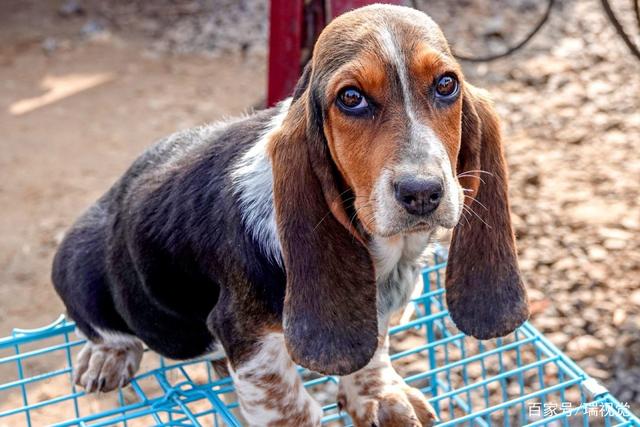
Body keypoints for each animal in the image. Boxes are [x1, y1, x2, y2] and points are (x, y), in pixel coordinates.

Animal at [52, 4, 528, 427]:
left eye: (447, 84)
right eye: (351, 98)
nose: (422, 192)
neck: (386, 250)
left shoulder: (370, 309)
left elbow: (371, 348)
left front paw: (378, 396)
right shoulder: (249, 336)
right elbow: (286, 406)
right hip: (78, 263)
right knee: (105, 327)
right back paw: (106, 357)